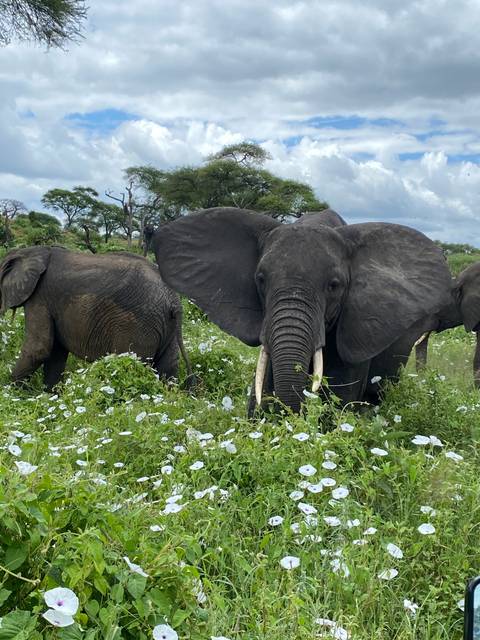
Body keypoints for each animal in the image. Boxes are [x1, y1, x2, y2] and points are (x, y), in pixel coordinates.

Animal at [0, 246, 192, 390]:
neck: (31, 252)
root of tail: (174, 300)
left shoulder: (40, 297)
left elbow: (38, 349)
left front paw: (11, 393)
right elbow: (55, 353)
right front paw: (51, 396)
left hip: (138, 326)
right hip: (166, 326)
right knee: (168, 367)